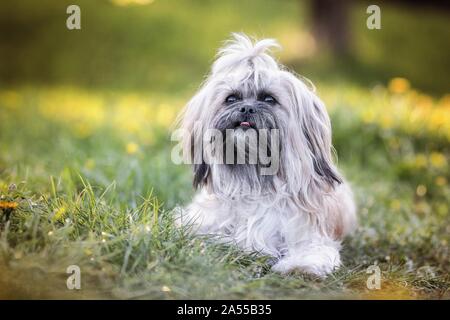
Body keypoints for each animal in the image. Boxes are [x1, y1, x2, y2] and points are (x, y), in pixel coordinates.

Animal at [174, 33, 356, 278]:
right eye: (231, 99)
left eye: (269, 99)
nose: (246, 109)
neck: (254, 180)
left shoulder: (310, 235)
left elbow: (312, 251)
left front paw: (299, 266)